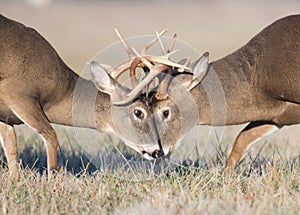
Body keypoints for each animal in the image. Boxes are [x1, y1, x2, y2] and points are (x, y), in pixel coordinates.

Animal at [0, 14, 189, 176]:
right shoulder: (16, 91)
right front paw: (52, 177)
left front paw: (15, 180)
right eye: (138, 112)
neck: (59, 92)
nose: (158, 151)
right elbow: (51, 136)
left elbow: (11, 150)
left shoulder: (5, 117)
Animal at [112, 14, 300, 171]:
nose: (155, 152)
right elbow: (242, 139)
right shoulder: (276, 115)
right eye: (143, 110)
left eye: (165, 112)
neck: (257, 80)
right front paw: (225, 176)